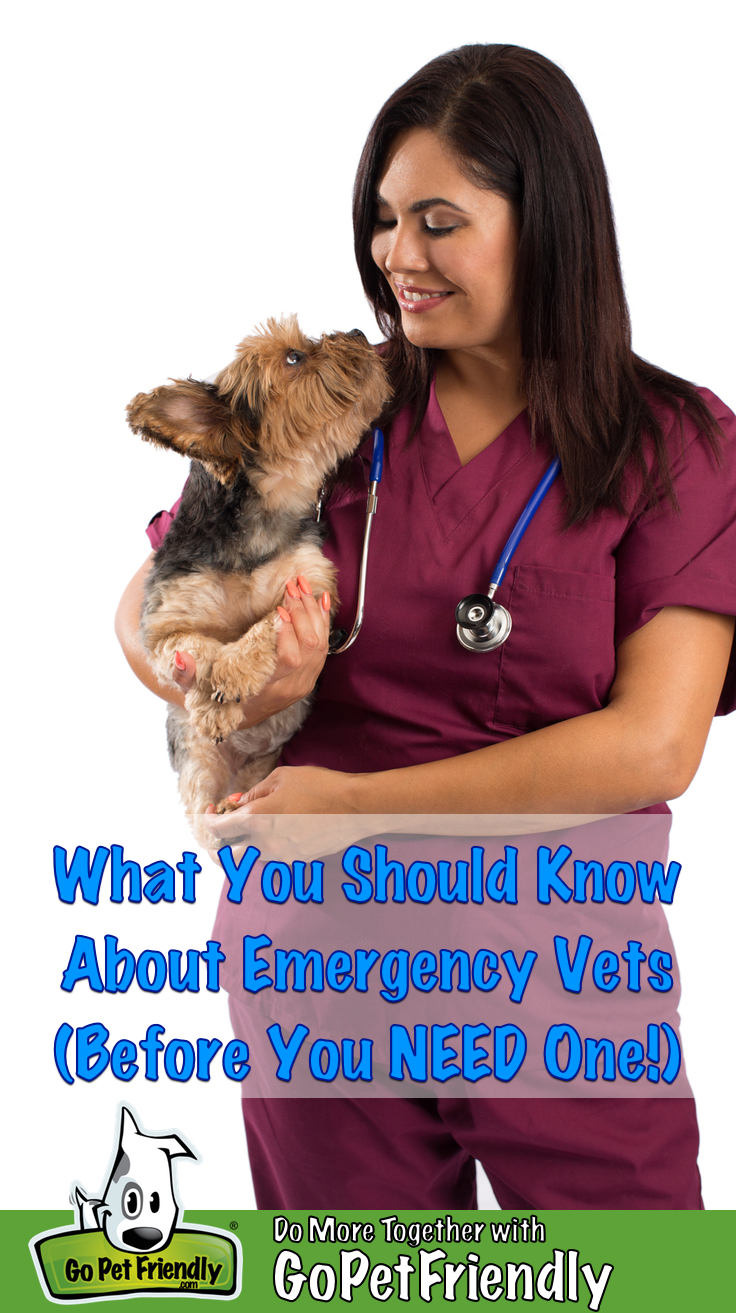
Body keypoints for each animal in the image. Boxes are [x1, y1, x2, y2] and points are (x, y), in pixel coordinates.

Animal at [128, 317, 388, 829]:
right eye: (293, 358)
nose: (357, 331)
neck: (260, 522)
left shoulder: (310, 593)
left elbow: (266, 623)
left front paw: (229, 676)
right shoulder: (165, 624)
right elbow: (194, 648)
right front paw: (213, 699)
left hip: (265, 768)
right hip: (199, 769)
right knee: (205, 820)